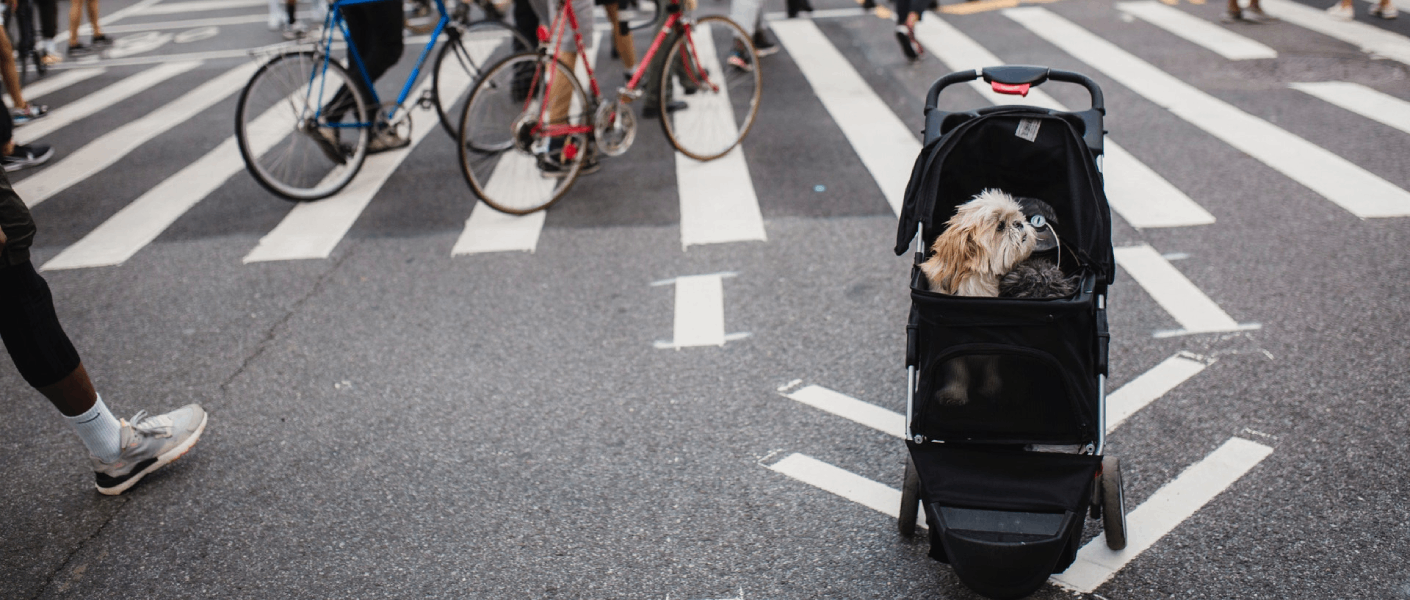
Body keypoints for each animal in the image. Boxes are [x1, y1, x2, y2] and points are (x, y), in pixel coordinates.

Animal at [919, 190, 1043, 405]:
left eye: (1017, 217)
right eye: (1000, 226)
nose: (1019, 223)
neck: (980, 282)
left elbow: (991, 367)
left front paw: (991, 389)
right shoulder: (951, 343)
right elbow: (957, 371)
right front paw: (954, 393)